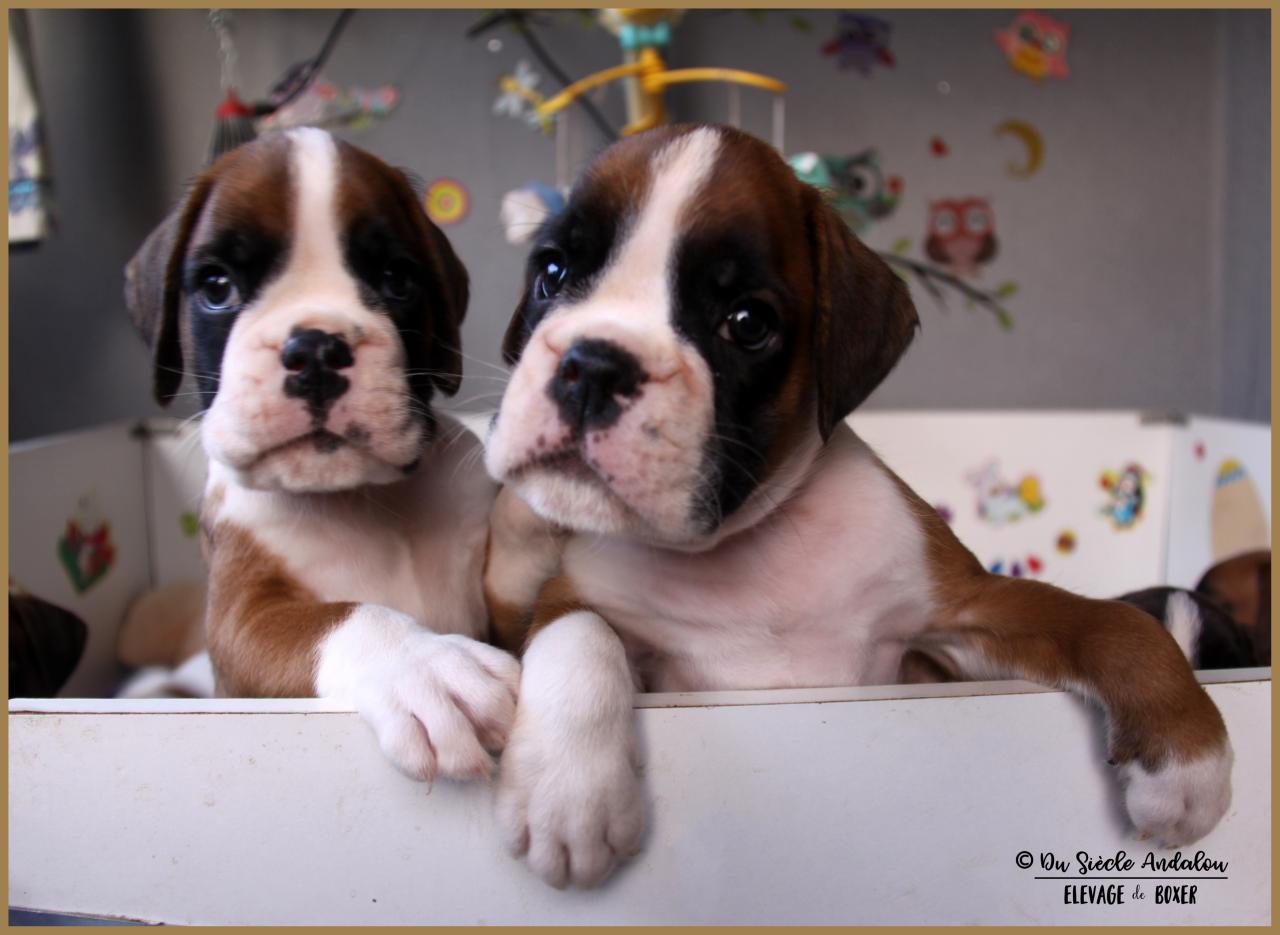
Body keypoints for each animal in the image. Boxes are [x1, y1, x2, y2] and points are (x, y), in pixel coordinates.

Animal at [125, 129, 519, 783]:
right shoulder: (240, 625)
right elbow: (338, 616)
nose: (314, 350)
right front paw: (425, 666)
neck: (359, 500)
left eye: (397, 279)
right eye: (217, 287)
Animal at [482, 124, 1233, 889]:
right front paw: (571, 791)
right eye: (552, 272)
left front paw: (1187, 757)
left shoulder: (966, 611)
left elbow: (1116, 624)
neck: (744, 545)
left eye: (747, 323)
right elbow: (577, 632)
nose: (593, 366)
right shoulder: (579, 596)